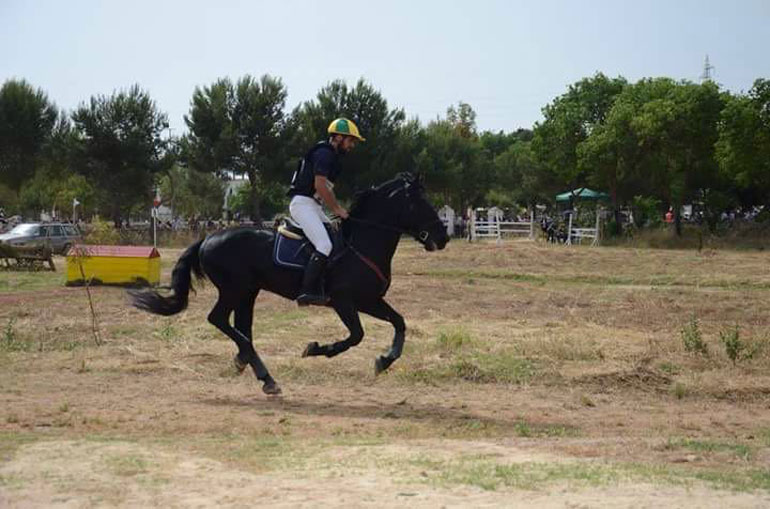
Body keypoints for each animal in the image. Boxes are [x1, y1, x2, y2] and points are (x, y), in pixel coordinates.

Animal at [130, 173, 448, 394]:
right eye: (418, 203)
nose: (443, 237)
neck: (361, 243)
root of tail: (208, 239)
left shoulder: (369, 300)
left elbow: (399, 322)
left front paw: (386, 359)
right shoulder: (344, 301)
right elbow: (356, 335)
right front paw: (317, 349)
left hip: (248, 292)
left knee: (242, 328)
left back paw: (253, 367)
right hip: (234, 289)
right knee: (219, 319)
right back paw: (260, 371)